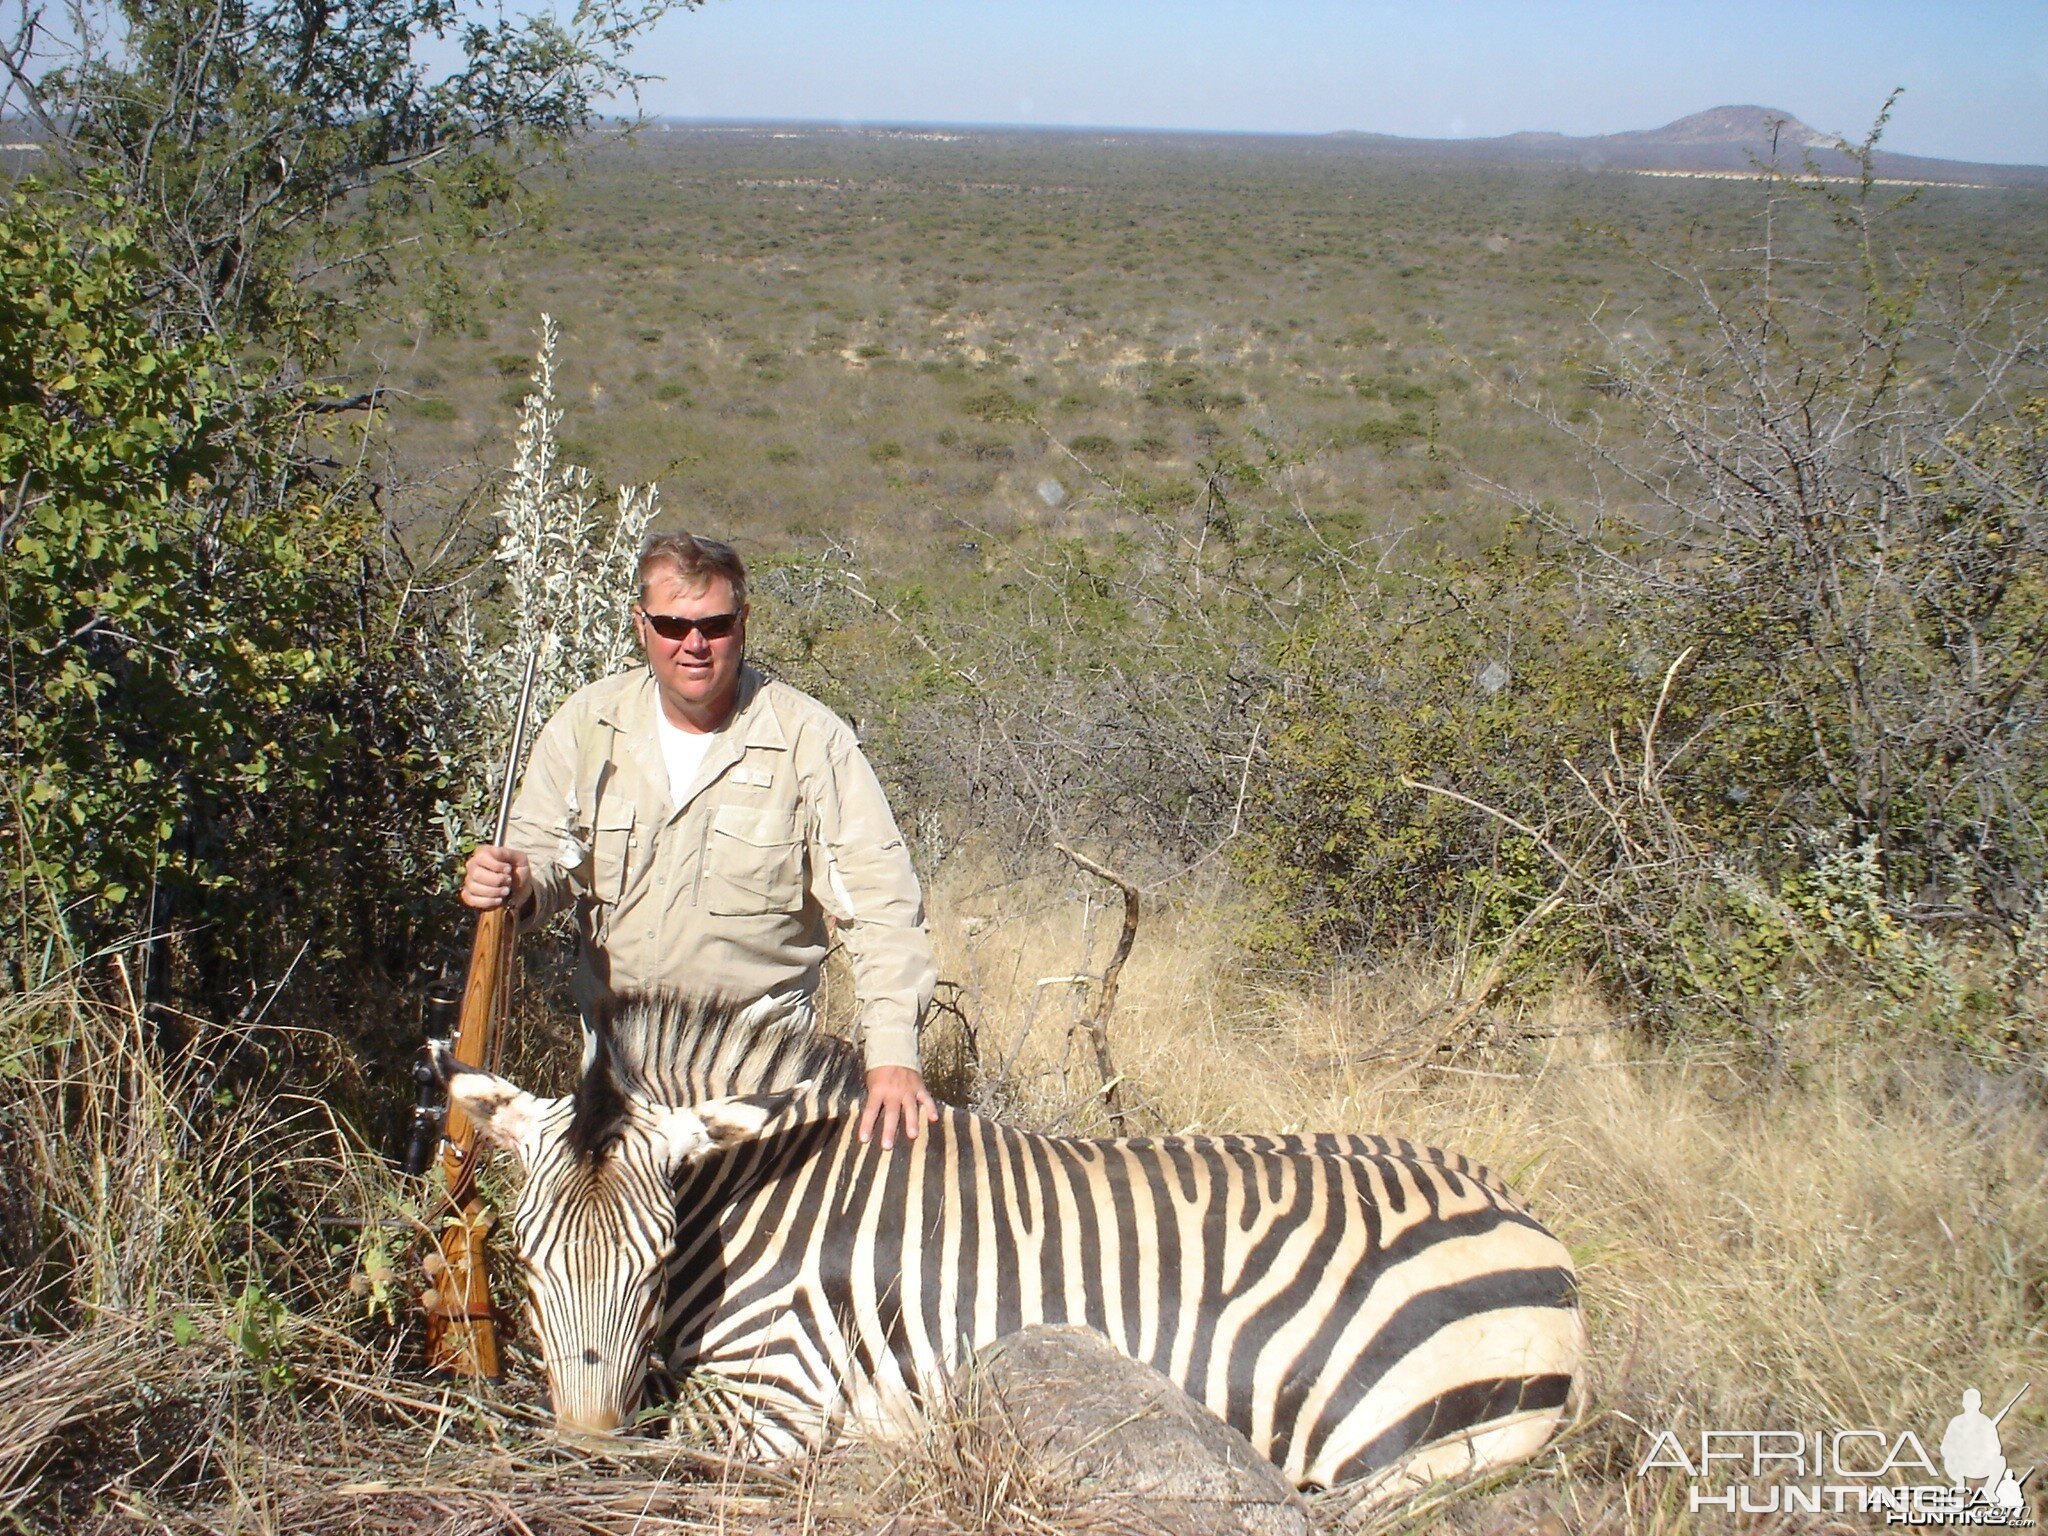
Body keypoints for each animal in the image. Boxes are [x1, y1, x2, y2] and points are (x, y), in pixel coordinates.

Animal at [432, 991, 1581, 1507]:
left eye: (659, 1259)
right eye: (527, 1261)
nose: (585, 1443)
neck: (770, 1195)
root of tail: (1530, 1222)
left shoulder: (774, 1400)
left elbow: (680, 1441)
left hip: (1390, 1449)